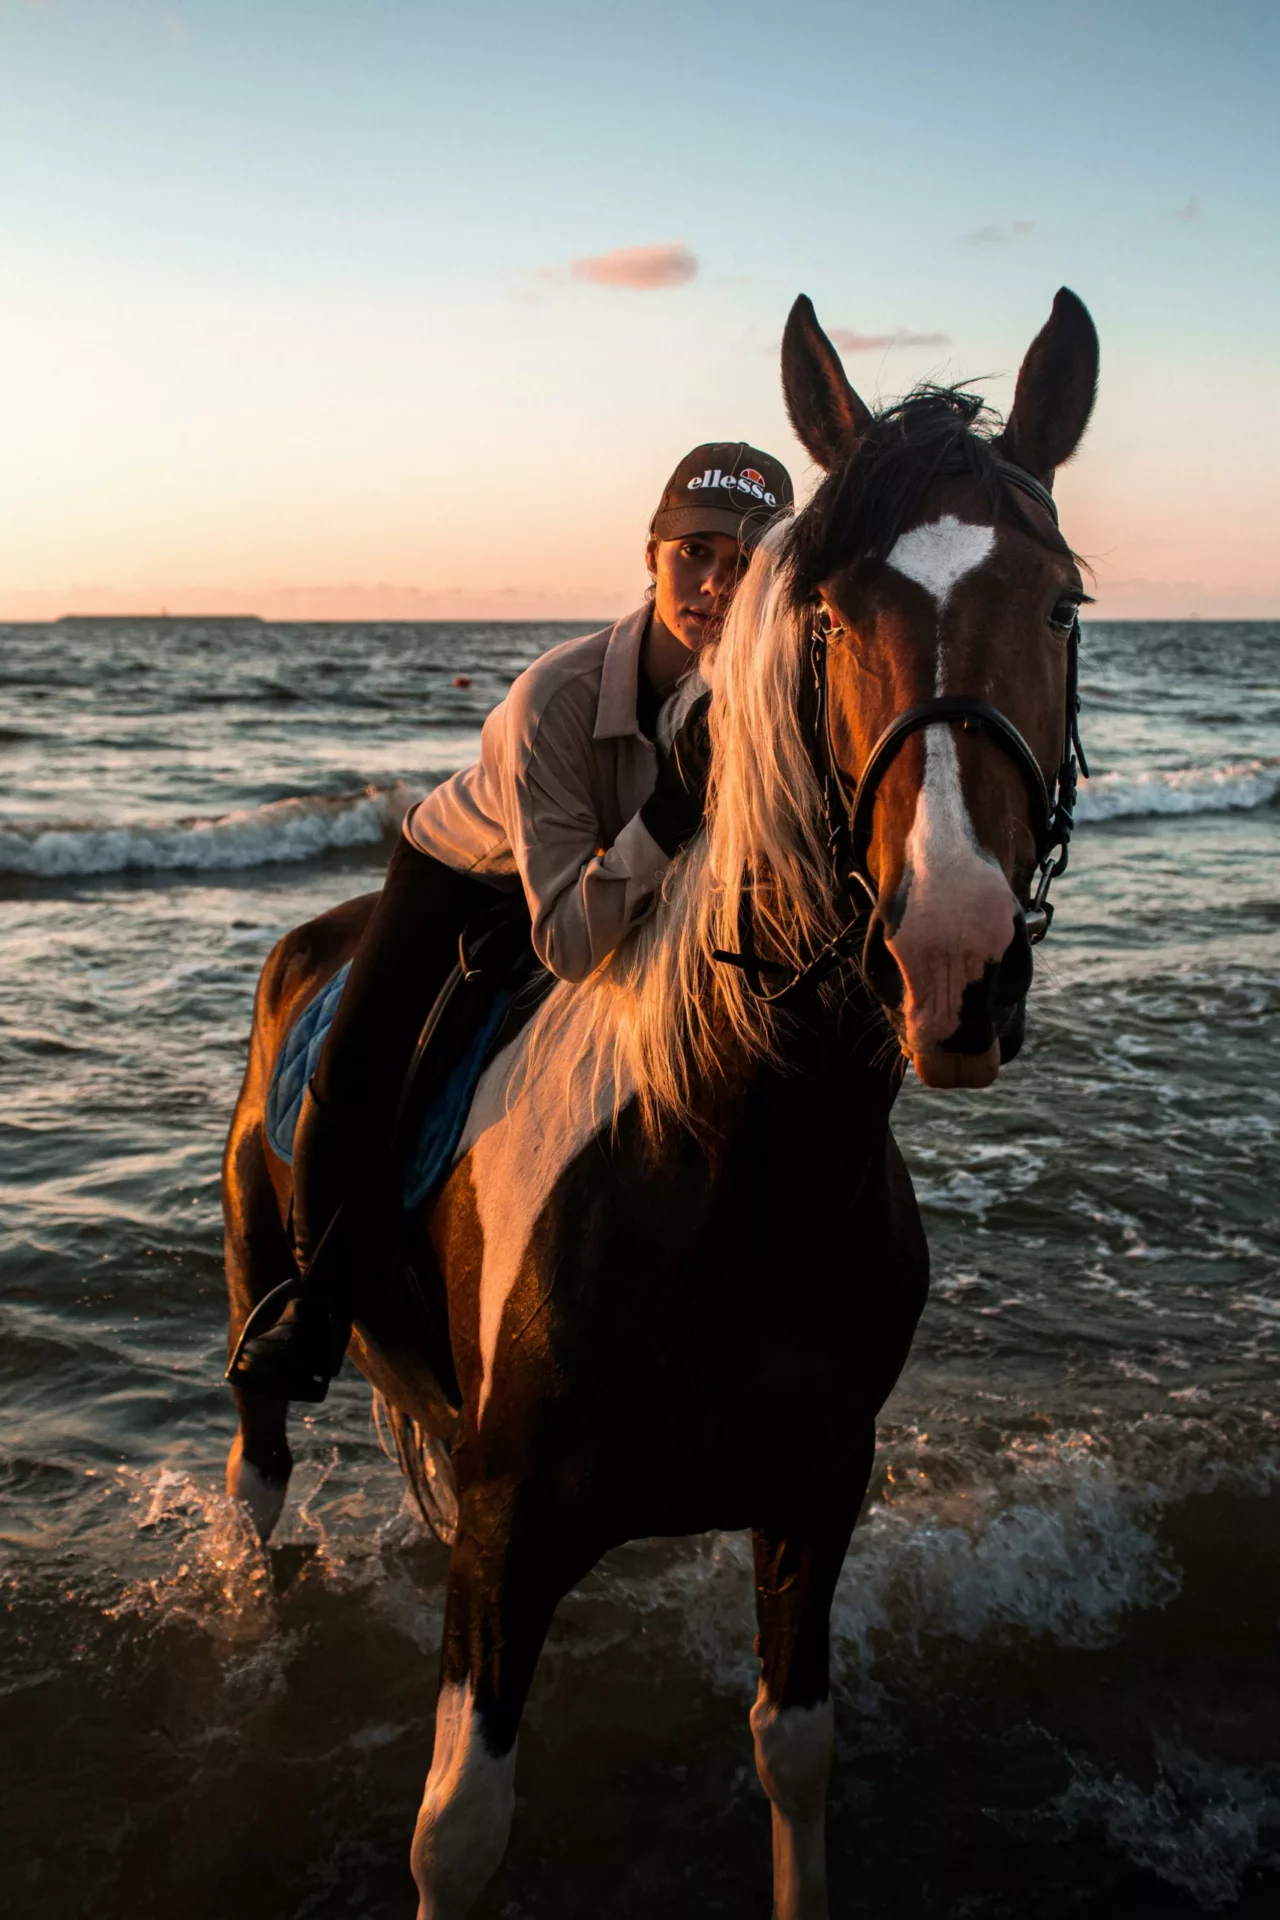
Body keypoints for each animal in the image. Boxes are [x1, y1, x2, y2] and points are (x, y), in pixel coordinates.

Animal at [222, 288, 1105, 1920]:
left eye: (1062, 607)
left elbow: (795, 1755)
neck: (723, 1164)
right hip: (266, 1303)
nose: (952, 959)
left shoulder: (816, 1494)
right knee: (259, 1477)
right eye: (826, 618)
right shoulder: (508, 1540)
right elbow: (458, 1833)